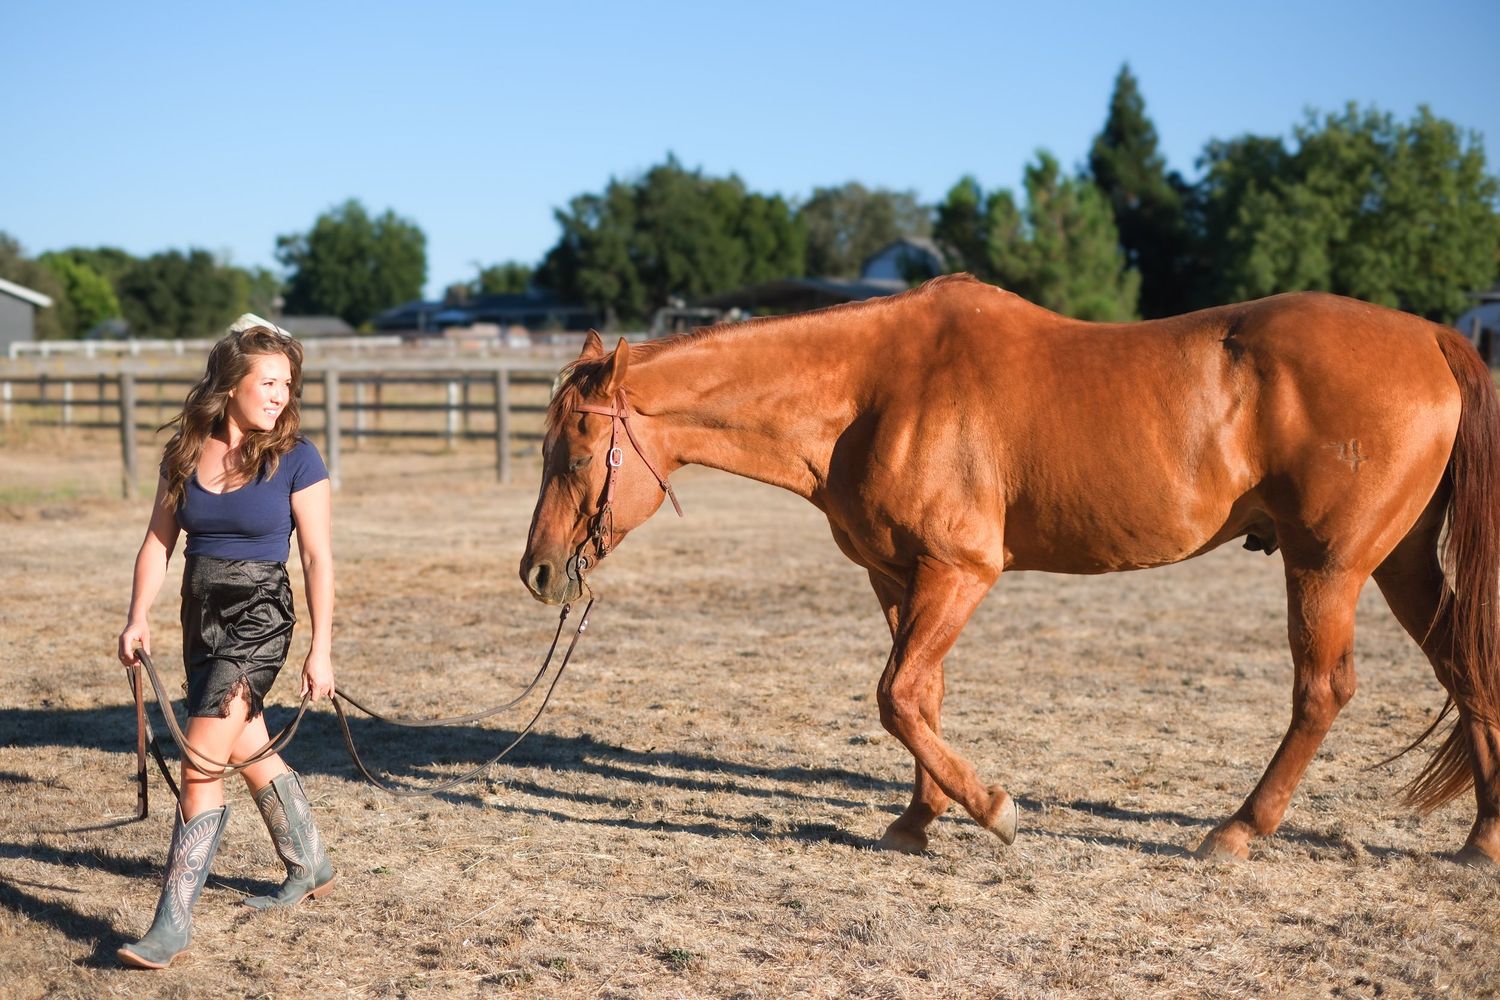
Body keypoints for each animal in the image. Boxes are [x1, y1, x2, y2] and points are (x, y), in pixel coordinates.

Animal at [519, 273, 1500, 866]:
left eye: (577, 454)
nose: (538, 571)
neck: (873, 389)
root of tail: (1430, 339)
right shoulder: (901, 578)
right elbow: (922, 696)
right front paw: (919, 820)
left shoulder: (961, 571)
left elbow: (898, 697)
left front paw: (993, 809)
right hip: (1399, 565)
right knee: (1465, 668)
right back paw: (1483, 838)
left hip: (1328, 565)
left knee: (1322, 691)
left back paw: (1237, 830)